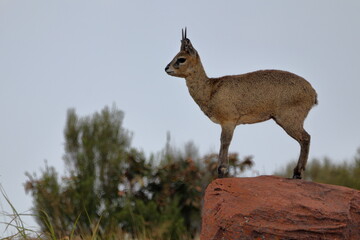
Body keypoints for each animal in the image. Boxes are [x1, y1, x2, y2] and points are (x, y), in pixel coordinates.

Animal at [165, 28, 316, 178]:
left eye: (181, 59)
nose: (166, 68)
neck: (211, 89)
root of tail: (313, 92)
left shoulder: (229, 121)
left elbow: (225, 142)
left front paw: (222, 170)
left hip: (289, 120)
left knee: (306, 138)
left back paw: (297, 173)